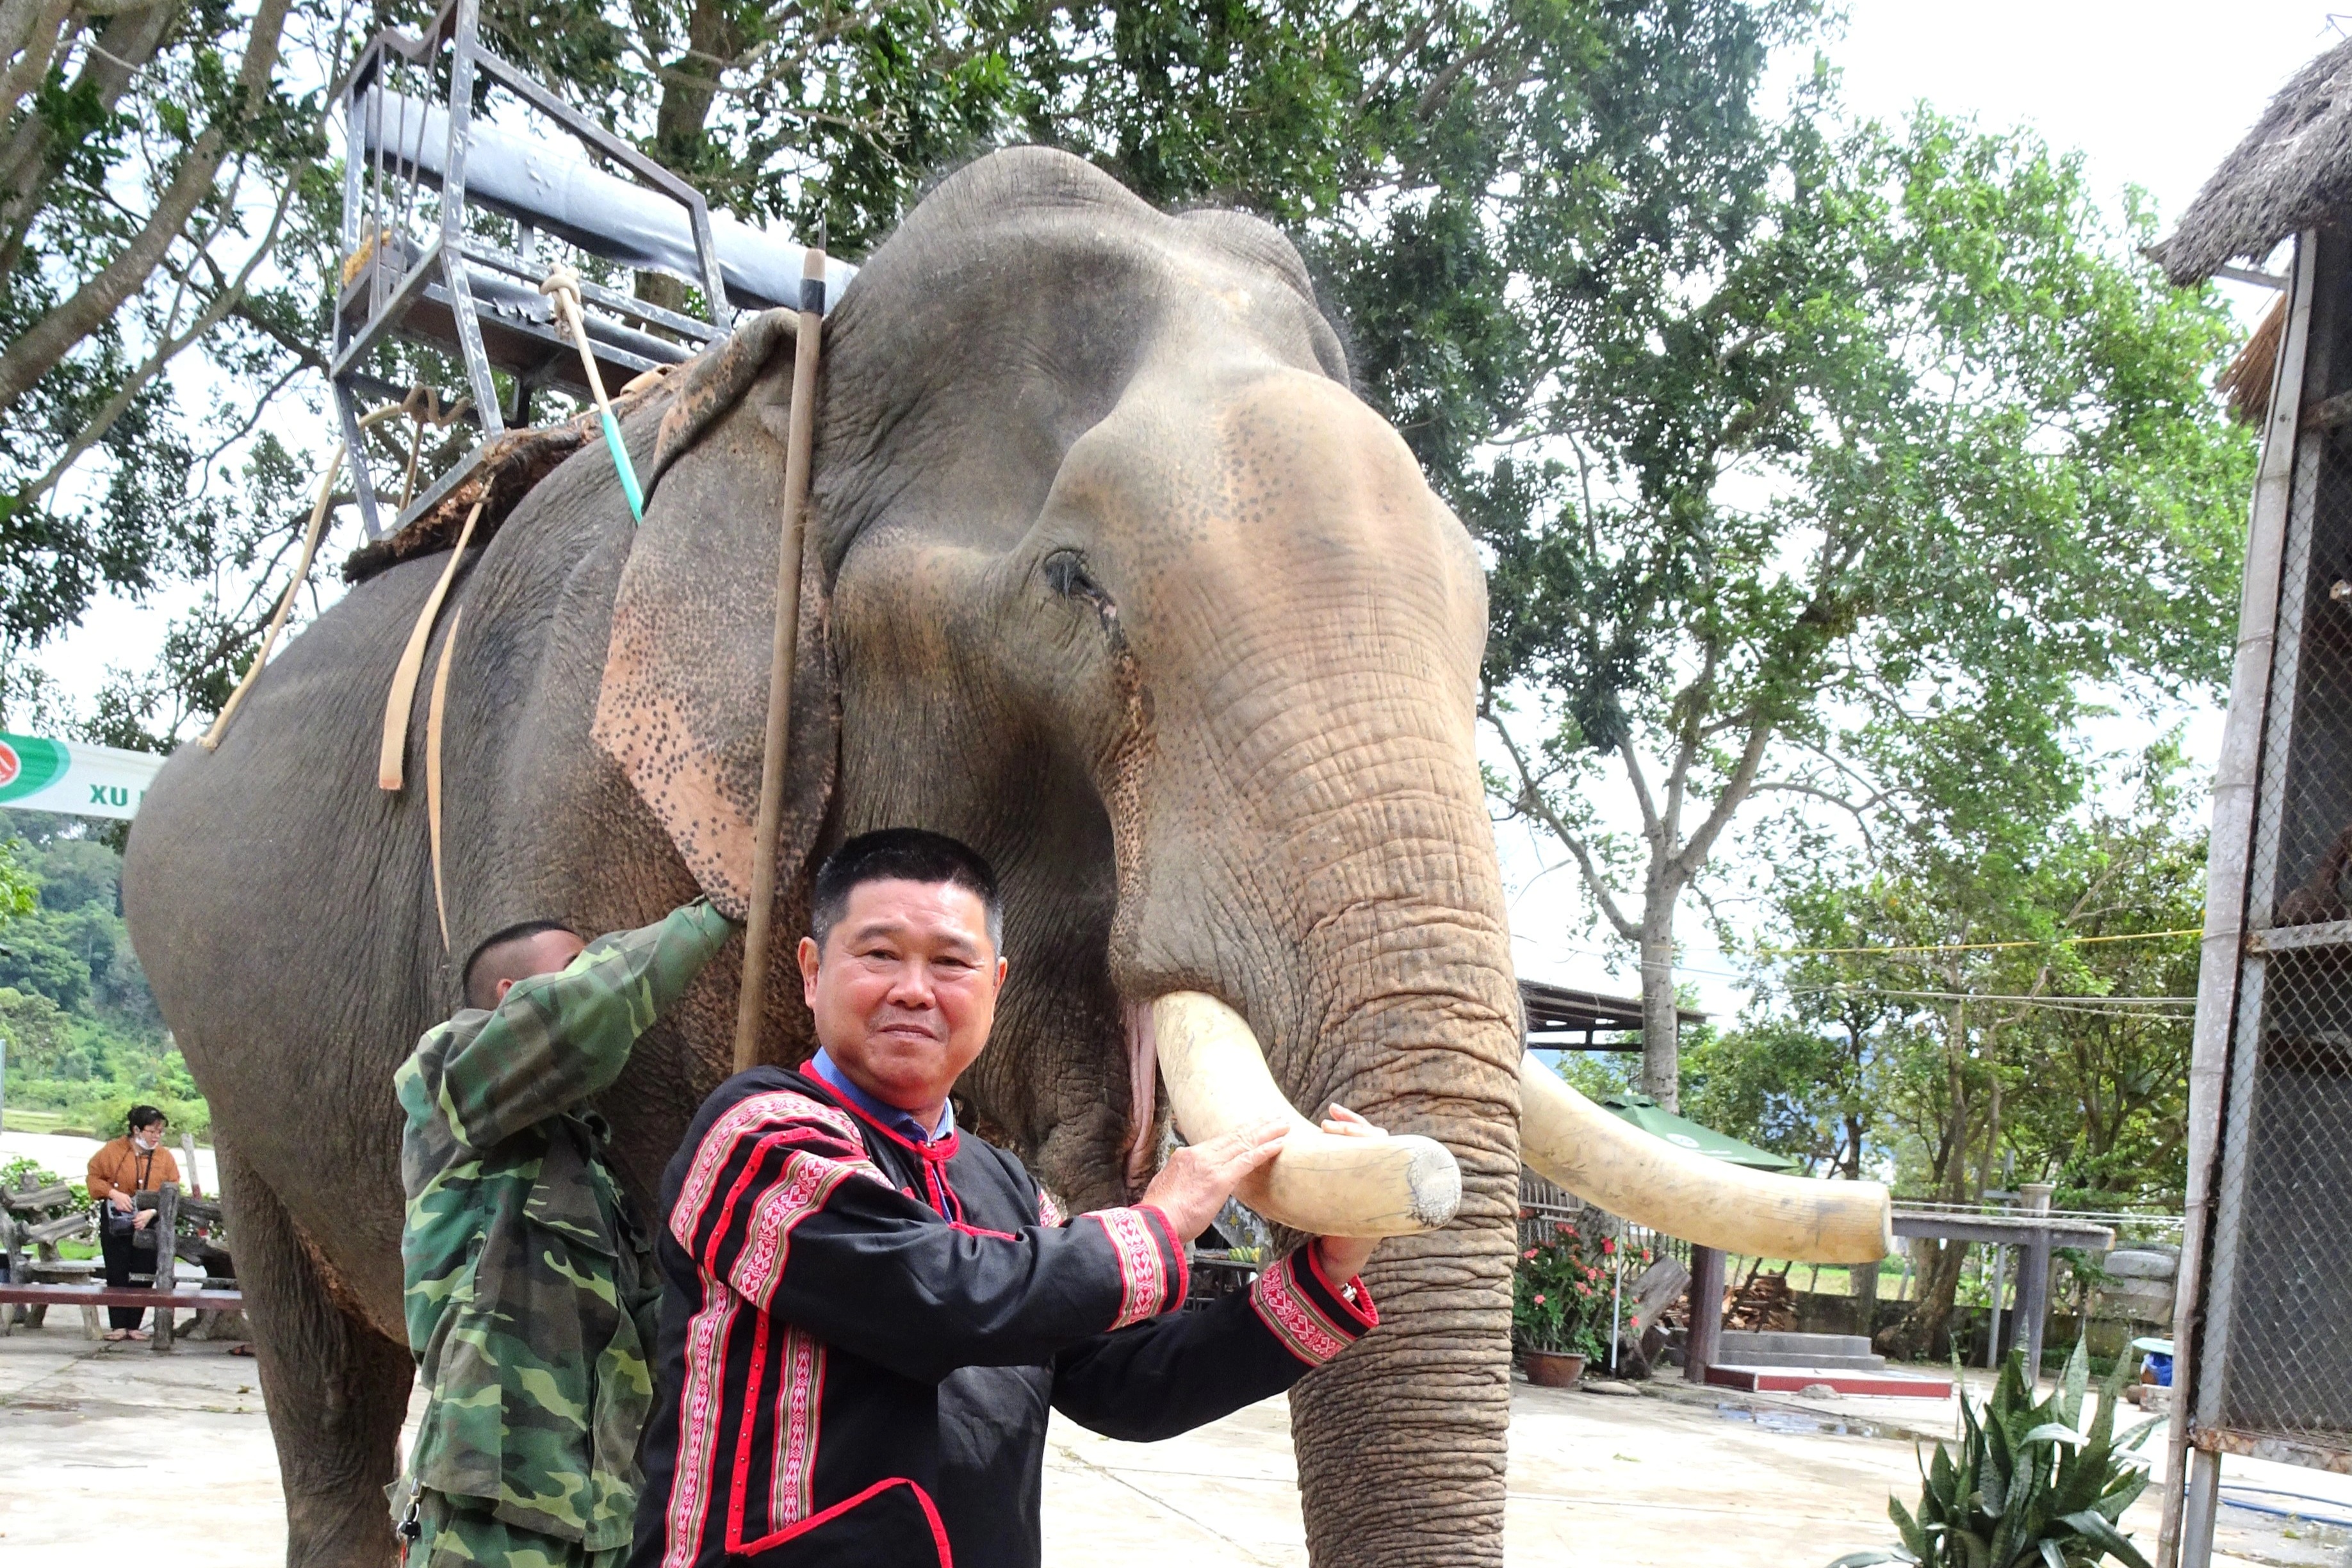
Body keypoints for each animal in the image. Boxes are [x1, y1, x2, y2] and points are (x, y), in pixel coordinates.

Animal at [124, 150, 1872, 1568]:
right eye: (1073, 583)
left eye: (1480, 599)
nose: (1414, 1160)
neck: (800, 383)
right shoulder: (562, 804)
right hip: (234, 1071)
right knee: (332, 1405)